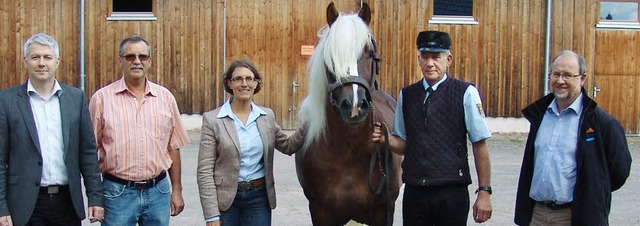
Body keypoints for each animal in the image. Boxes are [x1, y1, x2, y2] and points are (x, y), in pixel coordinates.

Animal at [294, 2, 400, 226]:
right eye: (330, 57)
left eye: (370, 52)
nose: (353, 106)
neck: (349, 150)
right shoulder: (320, 211)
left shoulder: (384, 210)